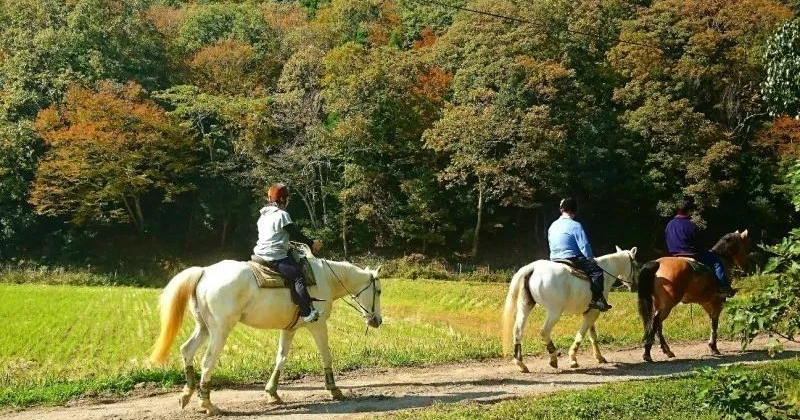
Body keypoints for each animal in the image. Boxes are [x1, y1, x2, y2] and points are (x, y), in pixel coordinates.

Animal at [152, 254, 384, 416]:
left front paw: (272, 392)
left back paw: (187, 394)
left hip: (204, 328)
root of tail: (204, 272)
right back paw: (208, 404)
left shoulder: (289, 329)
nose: (377, 321)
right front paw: (334, 390)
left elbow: (281, 357)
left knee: (187, 350)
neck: (325, 279)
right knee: (207, 362)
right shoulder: (318, 325)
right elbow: (326, 355)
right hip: (220, 330)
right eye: (379, 291)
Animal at [500, 246, 636, 370]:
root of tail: (532, 268)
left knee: (517, 331)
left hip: (525, 307)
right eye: (636, 264)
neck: (605, 272)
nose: (634, 286)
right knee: (544, 331)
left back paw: (521, 364)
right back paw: (553, 358)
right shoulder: (593, 312)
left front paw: (599, 357)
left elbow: (592, 335)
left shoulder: (591, 312)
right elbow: (581, 335)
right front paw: (573, 359)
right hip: (554, 312)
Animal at [636, 230, 748, 360]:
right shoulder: (717, 302)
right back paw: (647, 353)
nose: (746, 266)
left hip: (658, 303)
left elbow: (712, 321)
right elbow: (714, 324)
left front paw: (712, 346)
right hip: (667, 305)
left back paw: (667, 350)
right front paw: (713, 347)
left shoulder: (707, 303)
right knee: (656, 322)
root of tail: (656, 263)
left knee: (657, 324)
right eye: (744, 246)